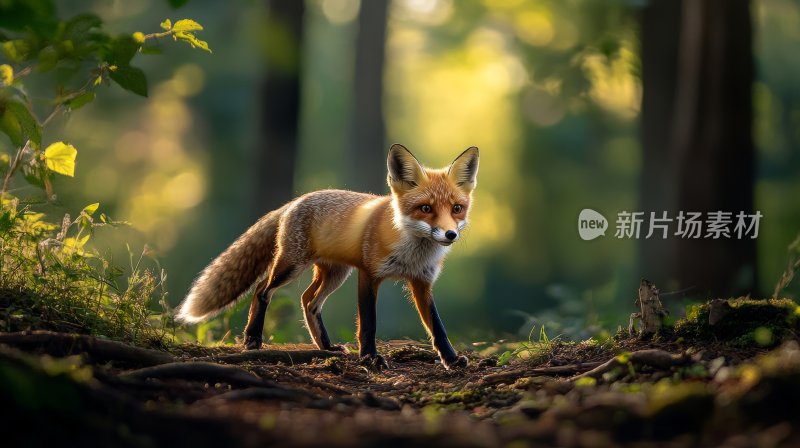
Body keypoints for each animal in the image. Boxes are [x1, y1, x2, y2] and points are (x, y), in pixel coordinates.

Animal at [175, 144, 478, 372]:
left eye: (457, 208)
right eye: (425, 208)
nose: (450, 234)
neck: (412, 251)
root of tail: (295, 200)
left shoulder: (421, 282)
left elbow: (437, 327)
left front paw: (451, 360)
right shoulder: (369, 275)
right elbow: (368, 323)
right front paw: (370, 358)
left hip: (335, 274)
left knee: (308, 301)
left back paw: (326, 347)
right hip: (292, 266)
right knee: (262, 290)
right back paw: (252, 339)